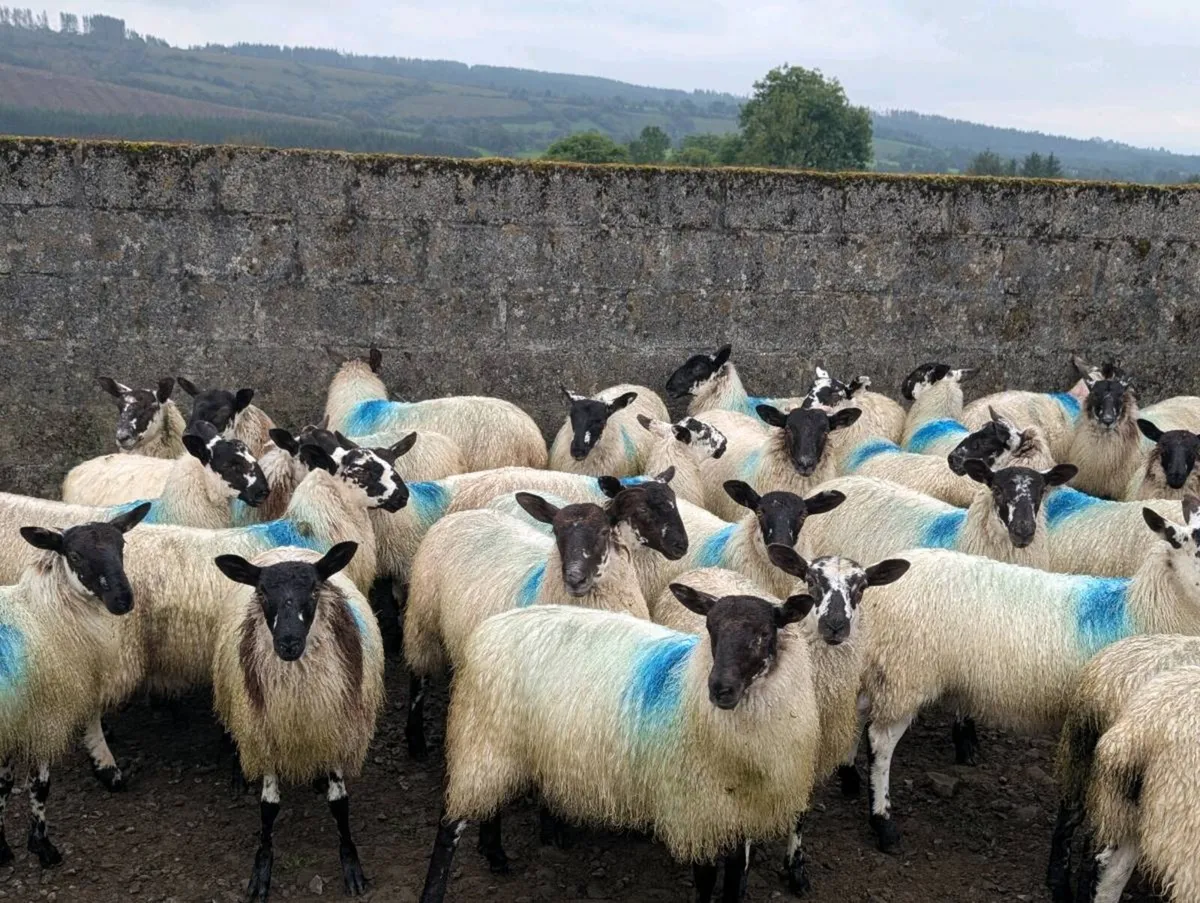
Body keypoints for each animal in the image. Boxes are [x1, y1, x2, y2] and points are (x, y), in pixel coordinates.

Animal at [0, 503, 150, 867]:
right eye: (75, 555)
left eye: (121, 546)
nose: (123, 599)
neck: (44, 615)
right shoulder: (45, 716)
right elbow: (39, 785)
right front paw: (42, 846)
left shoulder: (15, 721)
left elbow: (4, 784)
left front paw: (1, 847)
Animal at [212, 543, 384, 901]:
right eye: (262, 592)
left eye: (315, 589)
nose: (288, 642)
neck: (298, 700)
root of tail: (285, 548)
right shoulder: (265, 735)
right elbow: (268, 807)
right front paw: (261, 869)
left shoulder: (334, 729)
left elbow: (340, 803)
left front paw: (351, 864)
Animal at [402, 484, 685, 759]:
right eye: (555, 531)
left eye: (604, 531)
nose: (575, 578)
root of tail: (463, 515)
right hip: (423, 618)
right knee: (418, 675)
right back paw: (415, 742)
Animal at [418, 590, 821, 903]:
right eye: (710, 629)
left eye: (765, 633)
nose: (720, 689)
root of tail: (488, 629)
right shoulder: (695, 810)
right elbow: (707, 882)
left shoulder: (742, 813)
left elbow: (736, 881)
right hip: (481, 736)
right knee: (449, 827)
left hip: (499, 744)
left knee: (491, 805)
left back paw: (496, 855)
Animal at [858, 496, 1200, 853]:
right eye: (1195, 546)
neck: (1140, 609)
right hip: (904, 674)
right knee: (879, 742)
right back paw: (884, 824)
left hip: (877, 669)